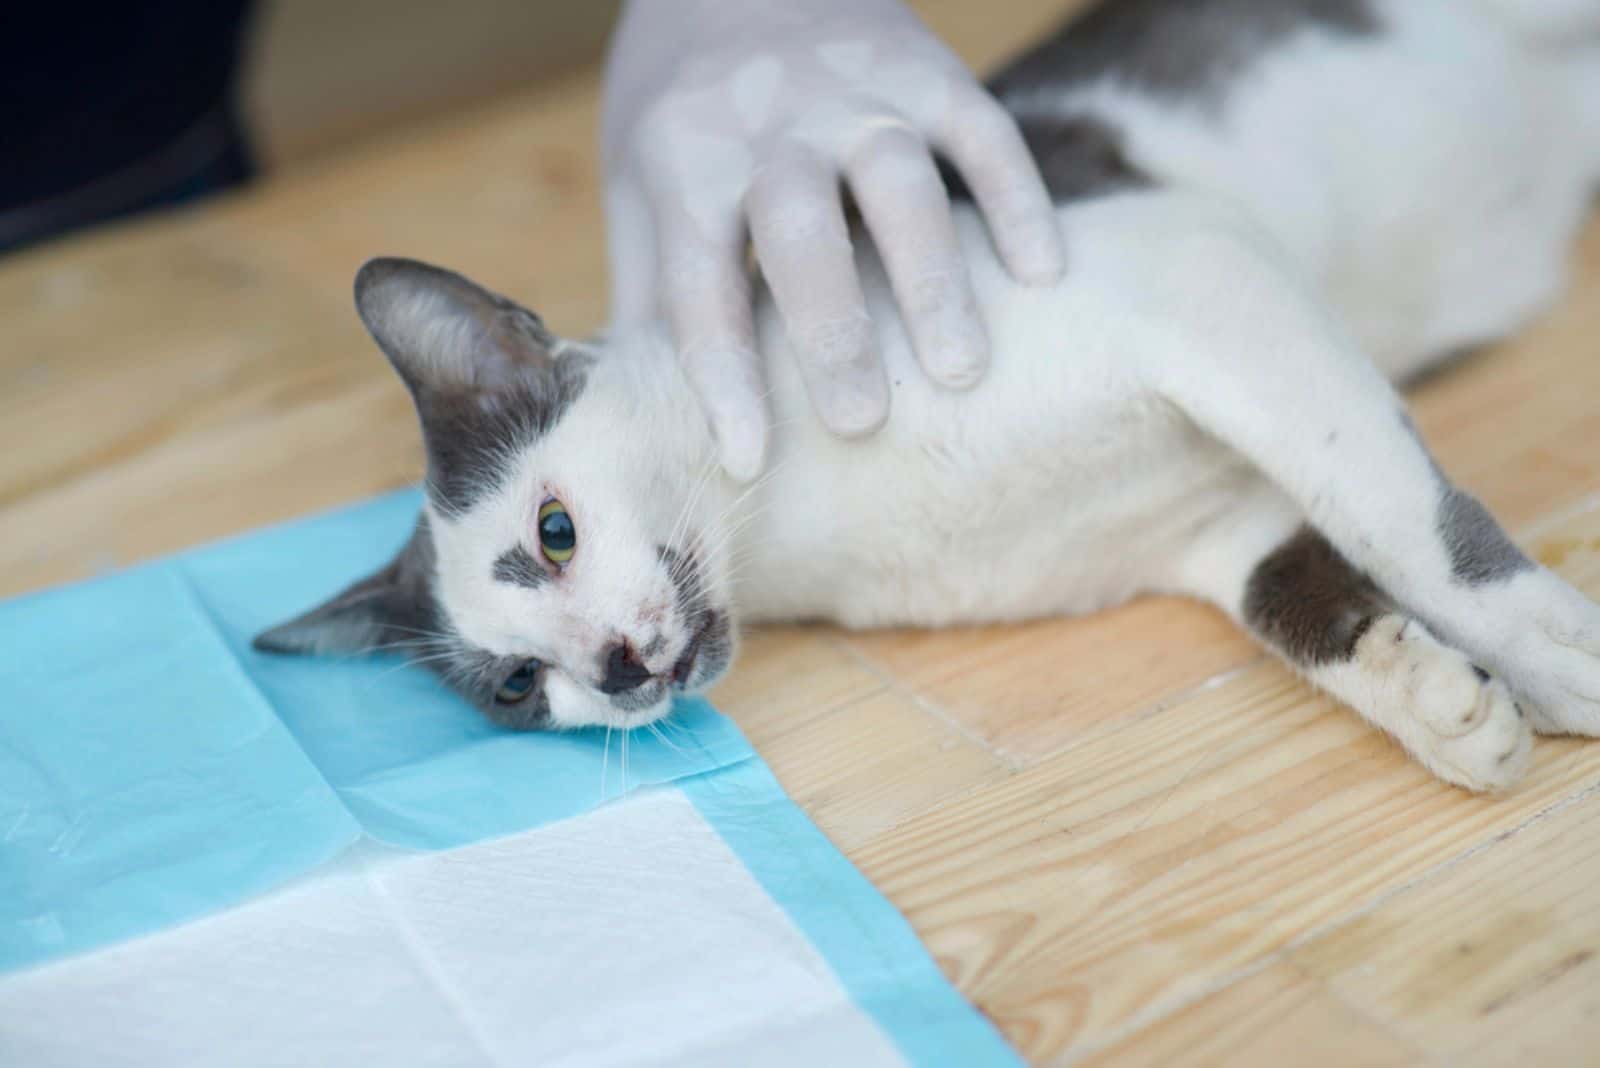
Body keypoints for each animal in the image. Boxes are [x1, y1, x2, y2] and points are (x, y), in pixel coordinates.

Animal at [256, 0, 1600, 789]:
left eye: (553, 530)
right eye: (519, 687)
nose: (619, 667)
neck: (792, 529)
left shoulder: (1197, 274)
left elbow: (1402, 518)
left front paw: (1543, 646)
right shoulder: (1213, 521)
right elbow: (1305, 590)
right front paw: (1440, 702)